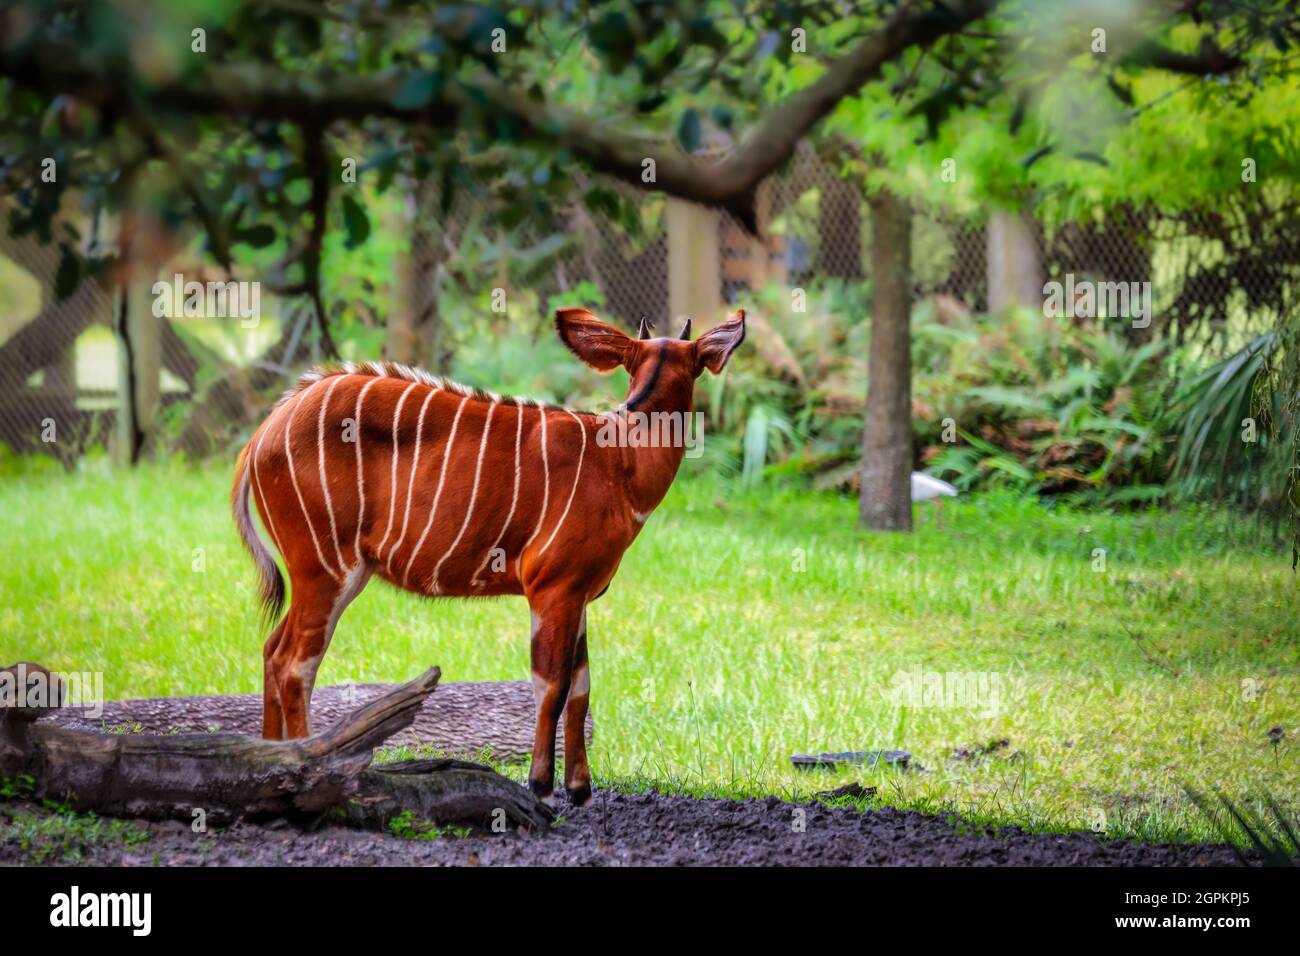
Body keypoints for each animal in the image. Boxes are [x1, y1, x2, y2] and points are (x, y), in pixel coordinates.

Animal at [228, 310, 748, 806]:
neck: (620, 463)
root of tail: (260, 437)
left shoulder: (579, 593)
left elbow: (581, 687)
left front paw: (580, 789)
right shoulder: (552, 586)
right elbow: (551, 685)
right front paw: (541, 786)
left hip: (323, 572)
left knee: (273, 648)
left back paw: (266, 763)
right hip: (325, 565)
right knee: (295, 662)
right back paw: (303, 766)